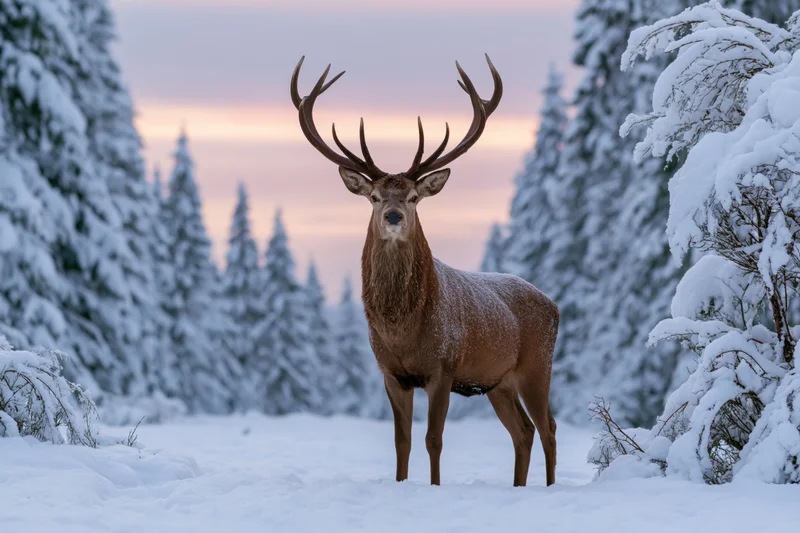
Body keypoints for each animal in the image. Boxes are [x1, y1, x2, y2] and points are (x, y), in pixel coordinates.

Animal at [290, 55, 559, 487]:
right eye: (374, 196)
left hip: (538, 365)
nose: (394, 215)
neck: (402, 328)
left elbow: (435, 439)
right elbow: (403, 441)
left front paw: (434, 486)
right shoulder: (391, 372)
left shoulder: (443, 367)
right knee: (524, 431)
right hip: (498, 382)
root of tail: (554, 305)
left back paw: (549, 488)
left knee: (548, 427)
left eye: (415, 196)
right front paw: (401, 483)